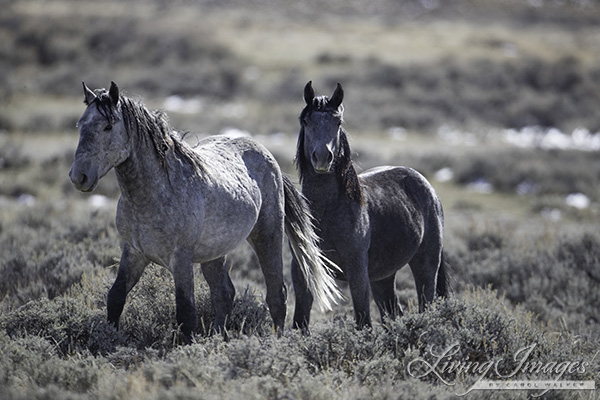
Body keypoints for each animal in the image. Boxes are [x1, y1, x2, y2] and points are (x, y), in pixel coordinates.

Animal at [69, 82, 340, 344]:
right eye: (80, 124)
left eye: (107, 126)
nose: (78, 176)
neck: (154, 192)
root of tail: (267, 155)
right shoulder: (134, 253)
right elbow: (115, 297)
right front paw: (108, 341)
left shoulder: (180, 258)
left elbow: (186, 312)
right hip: (215, 253)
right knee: (224, 294)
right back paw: (219, 338)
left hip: (267, 236)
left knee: (276, 294)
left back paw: (277, 342)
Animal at [292, 80, 448, 328]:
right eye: (306, 121)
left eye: (338, 122)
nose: (322, 158)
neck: (329, 212)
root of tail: (428, 188)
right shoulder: (302, 271)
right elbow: (300, 321)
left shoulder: (357, 272)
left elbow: (363, 318)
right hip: (383, 276)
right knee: (392, 313)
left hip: (425, 264)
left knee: (426, 303)